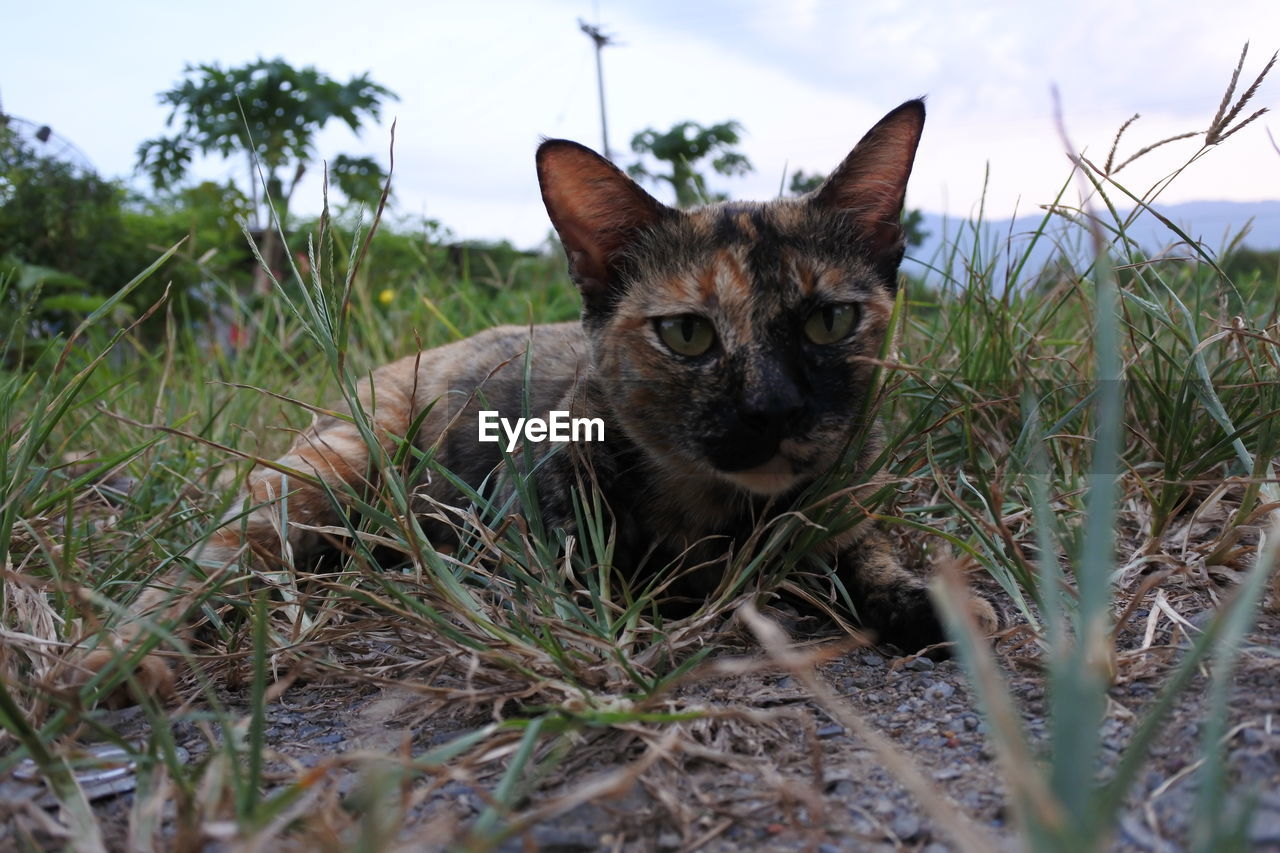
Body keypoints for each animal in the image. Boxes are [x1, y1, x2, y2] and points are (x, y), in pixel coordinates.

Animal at [74, 97, 998, 696]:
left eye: (829, 320)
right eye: (688, 335)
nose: (773, 411)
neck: (719, 513)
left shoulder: (843, 497)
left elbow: (862, 548)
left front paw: (924, 598)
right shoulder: (530, 534)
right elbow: (596, 588)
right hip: (327, 469)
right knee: (201, 562)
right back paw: (118, 657)